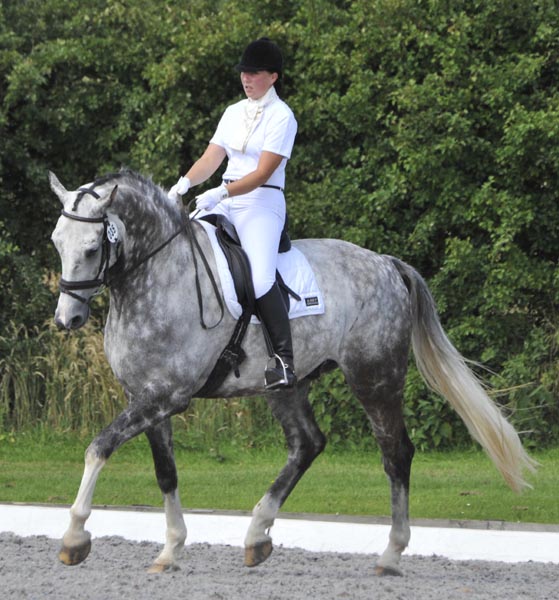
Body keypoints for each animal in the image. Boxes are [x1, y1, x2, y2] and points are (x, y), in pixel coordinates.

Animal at [50, 169, 536, 576]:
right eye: (57, 242)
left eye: (92, 248)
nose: (67, 319)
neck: (157, 275)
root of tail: (386, 263)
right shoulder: (147, 399)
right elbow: (165, 473)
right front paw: (170, 551)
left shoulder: (167, 396)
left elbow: (98, 448)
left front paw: (74, 538)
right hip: (286, 384)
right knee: (307, 444)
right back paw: (256, 536)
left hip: (374, 376)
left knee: (395, 453)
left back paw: (390, 555)